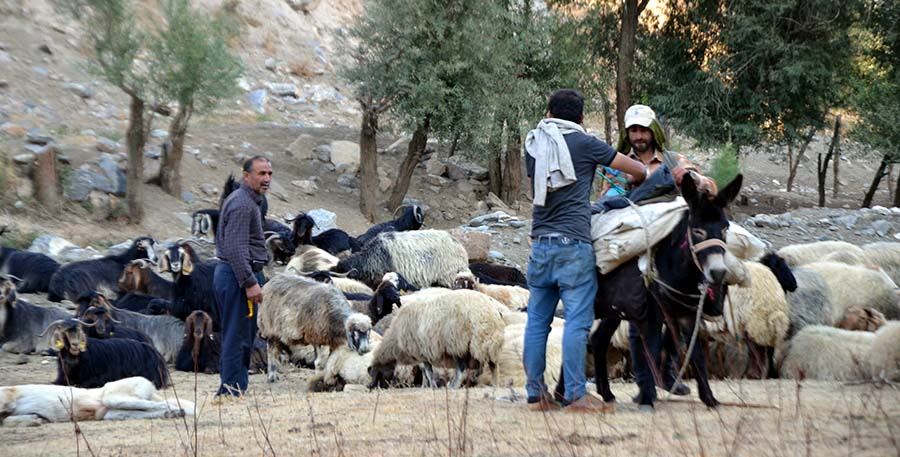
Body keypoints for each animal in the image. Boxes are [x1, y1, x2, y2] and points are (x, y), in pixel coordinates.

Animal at [0, 377, 193, 426]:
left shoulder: (7, 396)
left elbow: (4, 414)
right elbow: (6, 419)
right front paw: (34, 419)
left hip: (113, 396)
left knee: (163, 404)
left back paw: (175, 410)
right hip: (112, 413)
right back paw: (173, 413)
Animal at [368, 289, 505, 389]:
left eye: (376, 373)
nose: (370, 387)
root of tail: (491, 311)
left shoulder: (421, 352)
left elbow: (427, 372)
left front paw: (430, 386)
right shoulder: (424, 353)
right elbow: (427, 371)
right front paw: (428, 385)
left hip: (459, 343)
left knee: (462, 369)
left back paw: (453, 386)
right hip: (488, 342)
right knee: (493, 365)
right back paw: (495, 384)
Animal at [554, 173, 742, 409]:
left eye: (725, 228)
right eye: (697, 229)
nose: (717, 272)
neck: (672, 270)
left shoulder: (688, 315)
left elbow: (696, 354)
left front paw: (709, 398)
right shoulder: (652, 315)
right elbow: (651, 350)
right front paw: (647, 397)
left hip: (613, 310)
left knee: (597, 340)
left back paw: (604, 393)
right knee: (575, 338)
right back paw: (563, 395)